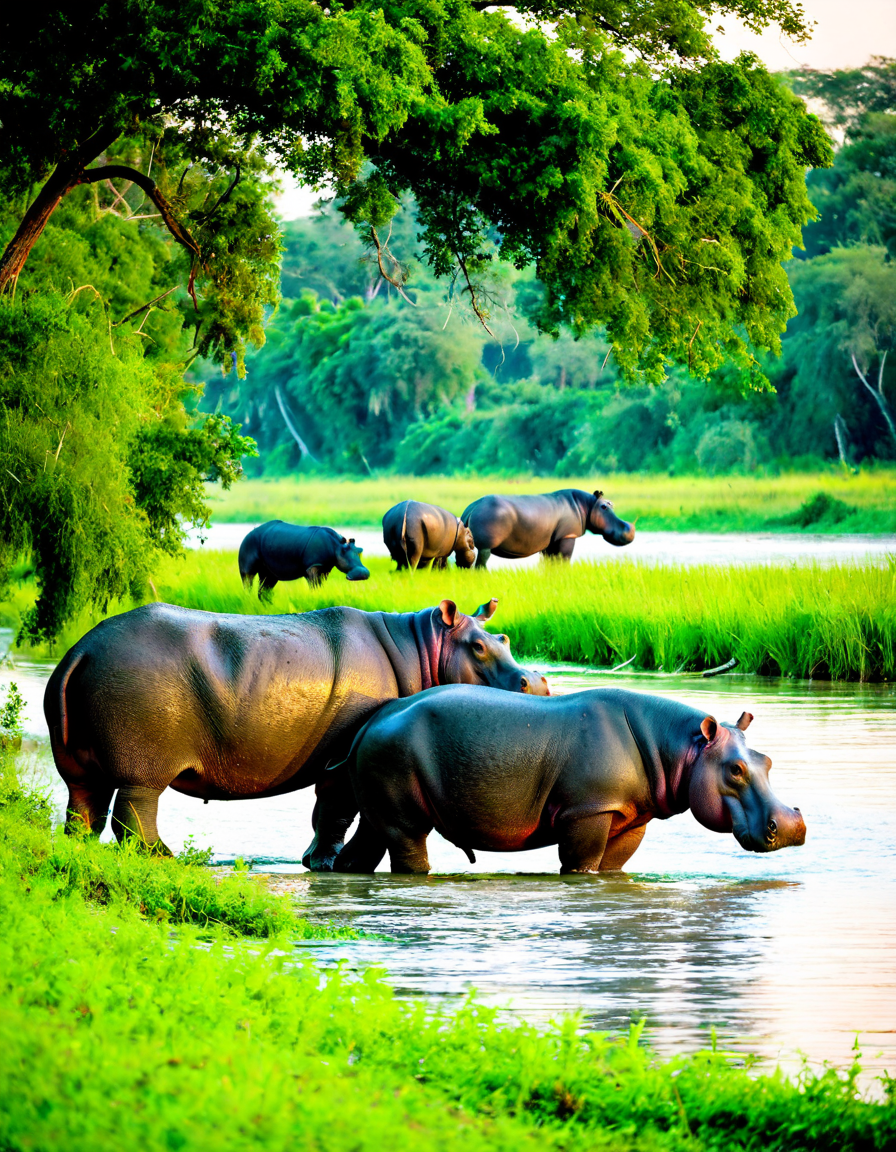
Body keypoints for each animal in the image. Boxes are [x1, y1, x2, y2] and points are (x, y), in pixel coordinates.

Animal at [45, 599, 550, 869]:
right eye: (478, 646)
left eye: (504, 637)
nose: (538, 681)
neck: (421, 646)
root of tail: (82, 649)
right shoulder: (341, 760)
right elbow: (336, 810)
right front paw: (323, 862)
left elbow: (324, 812)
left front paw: (313, 861)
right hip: (144, 763)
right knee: (133, 811)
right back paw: (166, 857)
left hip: (79, 762)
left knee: (84, 808)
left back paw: (79, 848)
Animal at [239, 521, 369, 595]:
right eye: (344, 552)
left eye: (360, 551)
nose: (364, 573)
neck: (336, 545)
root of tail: (248, 533)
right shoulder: (313, 566)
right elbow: (314, 586)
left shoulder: (325, 568)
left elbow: (320, 585)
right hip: (248, 545)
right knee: (248, 579)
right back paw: (248, 598)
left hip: (268, 568)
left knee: (266, 586)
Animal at [331, 686, 805, 873]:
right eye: (735, 770)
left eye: (767, 761)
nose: (792, 827)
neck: (679, 749)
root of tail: (369, 724)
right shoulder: (588, 812)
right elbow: (579, 863)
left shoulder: (628, 819)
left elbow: (612, 866)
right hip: (401, 802)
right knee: (409, 848)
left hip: (378, 808)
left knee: (363, 848)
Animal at [461, 489, 634, 568]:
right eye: (604, 506)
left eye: (612, 504)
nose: (630, 529)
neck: (588, 504)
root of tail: (472, 507)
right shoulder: (568, 536)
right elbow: (564, 559)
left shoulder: (550, 541)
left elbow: (550, 563)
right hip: (486, 543)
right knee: (482, 560)